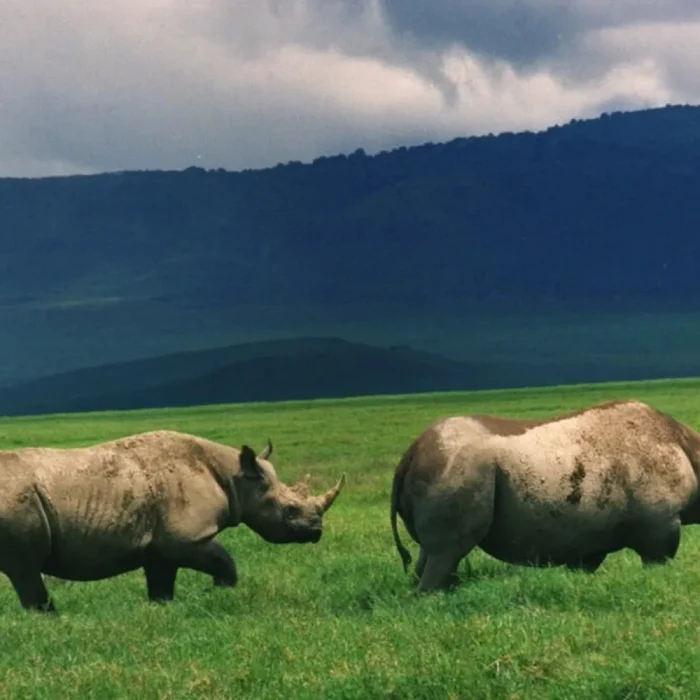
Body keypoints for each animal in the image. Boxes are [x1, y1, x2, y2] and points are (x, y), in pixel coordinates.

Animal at [0, 430, 345, 612]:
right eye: (290, 510)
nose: (316, 531)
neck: (236, 477)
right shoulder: (186, 538)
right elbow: (225, 562)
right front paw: (216, 594)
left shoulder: (158, 548)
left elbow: (161, 585)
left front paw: (163, 610)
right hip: (17, 502)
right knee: (26, 569)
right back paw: (50, 619)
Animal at [390, 399, 700, 592]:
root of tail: (410, 455)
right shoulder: (659, 522)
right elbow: (659, 559)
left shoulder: (591, 532)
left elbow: (584, 562)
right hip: (457, 468)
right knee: (446, 552)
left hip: (445, 469)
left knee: (431, 553)